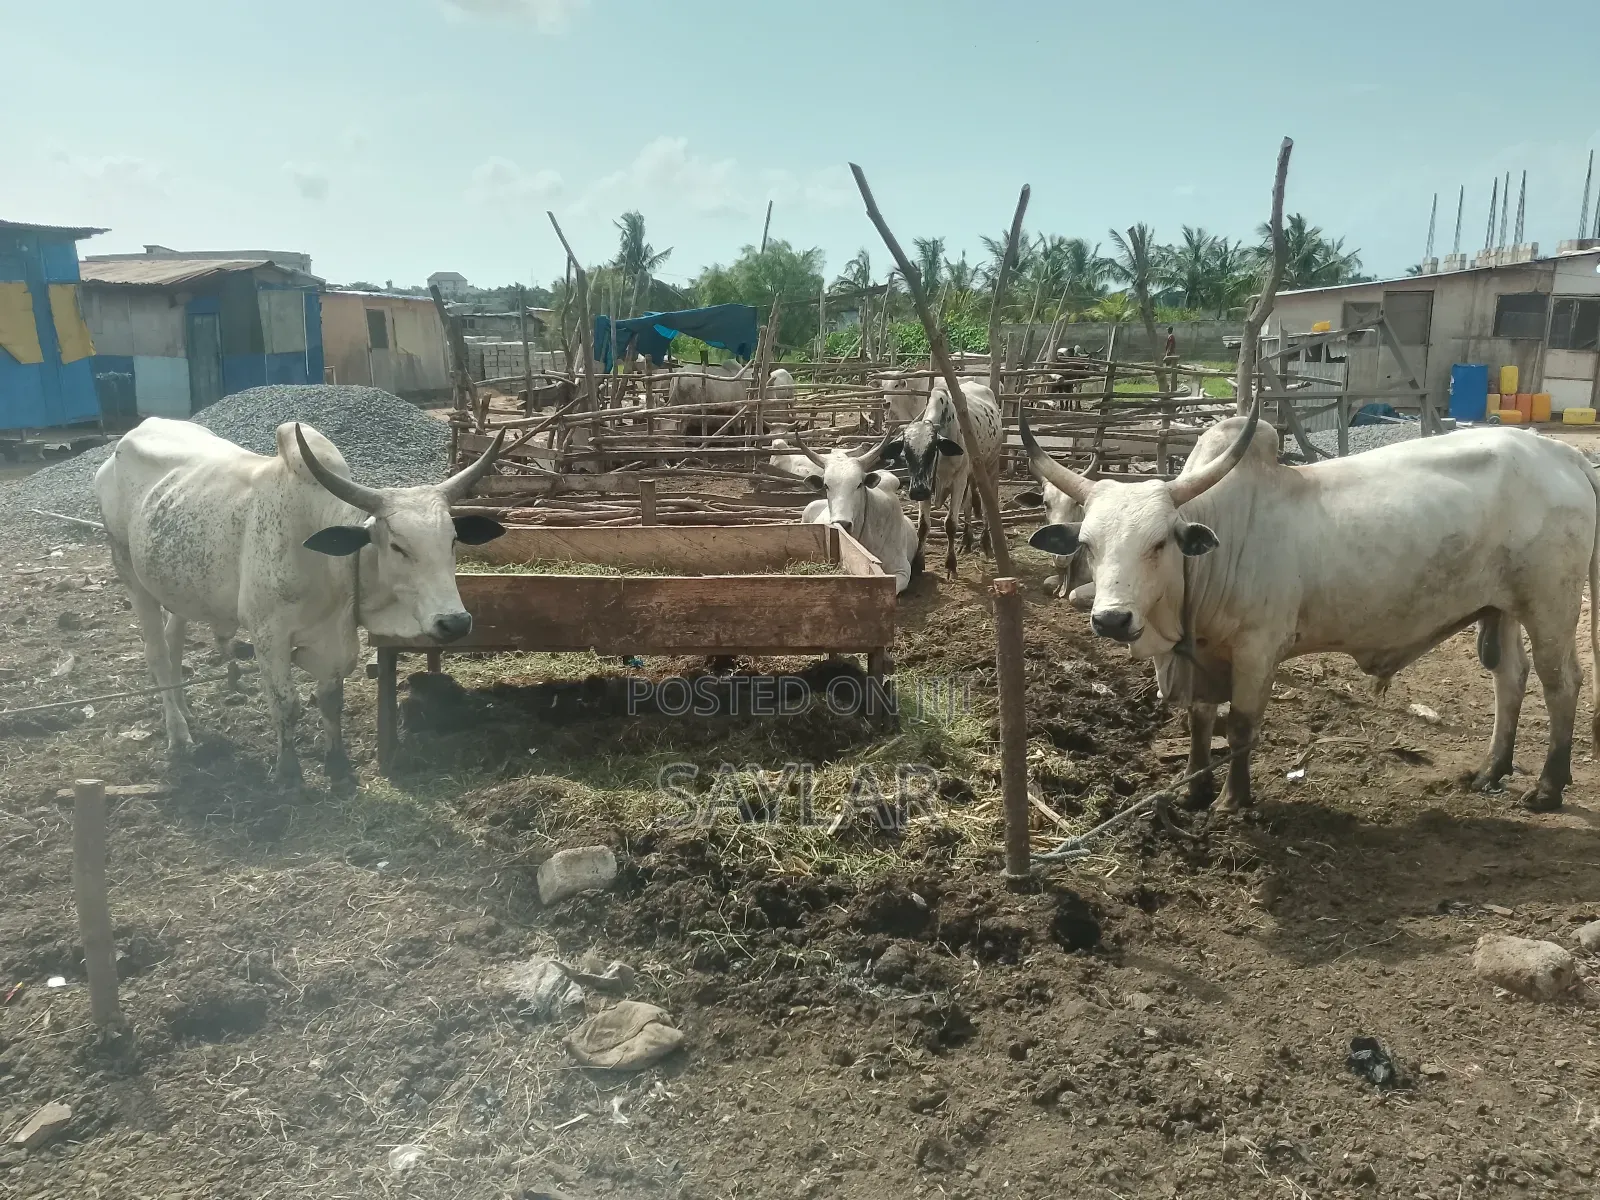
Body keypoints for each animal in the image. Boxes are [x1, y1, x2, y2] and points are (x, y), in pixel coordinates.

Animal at [95, 418, 507, 789]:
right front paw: (288, 773)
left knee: (174, 642)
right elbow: (287, 703)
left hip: (176, 587)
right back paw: (179, 735)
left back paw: (184, 711)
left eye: (452, 540)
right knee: (157, 654)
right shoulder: (268, 635)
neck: (325, 560)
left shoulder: (335, 638)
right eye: (397, 546)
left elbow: (330, 699)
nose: (454, 622)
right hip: (130, 574)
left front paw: (337, 765)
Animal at [884, 379, 1003, 580]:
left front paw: (951, 566)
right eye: (906, 454)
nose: (917, 492)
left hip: (991, 465)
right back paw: (966, 542)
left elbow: (950, 523)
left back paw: (986, 544)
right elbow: (923, 525)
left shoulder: (958, 481)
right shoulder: (928, 486)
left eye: (932, 451)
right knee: (968, 504)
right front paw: (918, 564)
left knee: (988, 503)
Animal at [1020, 404, 1600, 815]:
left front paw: (1233, 801)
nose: (1111, 619)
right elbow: (1200, 720)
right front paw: (1193, 791)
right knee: (1511, 677)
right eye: (1089, 544)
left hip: (1550, 604)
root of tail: (1566, 456)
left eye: (1159, 543)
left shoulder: (1257, 652)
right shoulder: (1202, 657)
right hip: (1502, 606)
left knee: (1560, 682)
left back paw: (1547, 787)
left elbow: (1241, 726)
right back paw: (1492, 771)